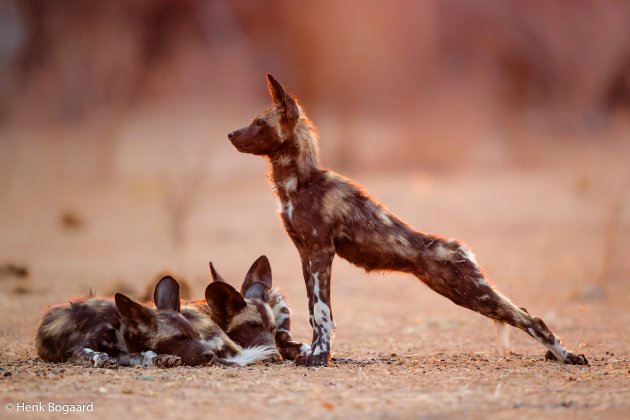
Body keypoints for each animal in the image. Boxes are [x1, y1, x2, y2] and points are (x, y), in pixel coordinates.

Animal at [37, 278, 215, 370]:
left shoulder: (125, 354)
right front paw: (102, 359)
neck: (119, 331)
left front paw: (161, 359)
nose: (209, 354)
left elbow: (145, 355)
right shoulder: (78, 350)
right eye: (180, 338)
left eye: (197, 335)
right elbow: (95, 354)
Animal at [228, 74, 592, 366]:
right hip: (457, 290)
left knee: (532, 319)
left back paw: (568, 356)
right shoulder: (307, 255)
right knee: (526, 314)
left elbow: (322, 313)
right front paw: (316, 354)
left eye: (259, 123)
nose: (231, 134)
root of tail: (461, 248)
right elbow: (316, 313)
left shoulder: (320, 254)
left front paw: (319, 358)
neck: (298, 182)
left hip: (471, 292)